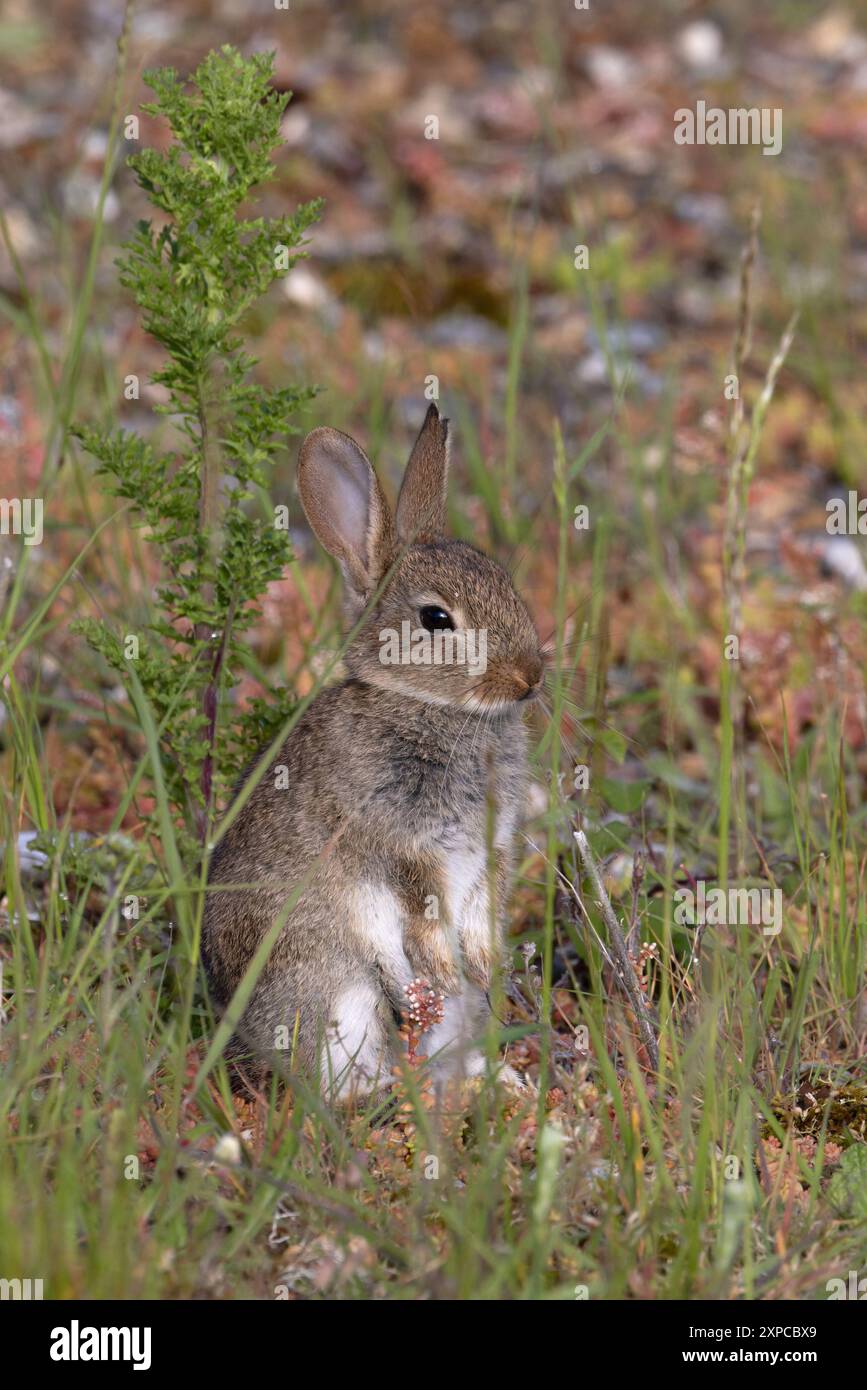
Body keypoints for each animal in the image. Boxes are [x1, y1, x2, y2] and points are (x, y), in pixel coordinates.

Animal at [202, 404, 544, 1100]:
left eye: (506, 582)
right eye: (437, 620)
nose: (530, 678)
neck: (428, 708)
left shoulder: (488, 854)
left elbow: (479, 918)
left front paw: (486, 969)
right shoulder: (399, 850)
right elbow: (418, 919)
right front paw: (442, 975)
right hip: (337, 995)